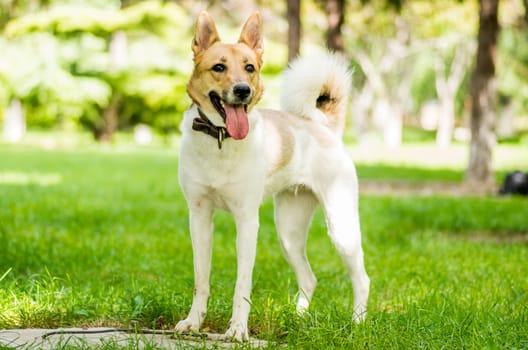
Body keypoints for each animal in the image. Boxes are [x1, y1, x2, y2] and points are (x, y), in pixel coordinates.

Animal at [175, 11, 370, 342]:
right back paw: (298, 319)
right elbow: (201, 279)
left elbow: (242, 285)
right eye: (219, 67)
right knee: (309, 278)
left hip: (341, 227)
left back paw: (357, 323)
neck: (221, 138)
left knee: (361, 278)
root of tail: (322, 127)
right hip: (288, 232)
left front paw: (237, 330)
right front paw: (193, 322)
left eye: (250, 67)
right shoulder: (198, 217)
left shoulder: (247, 221)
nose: (243, 90)